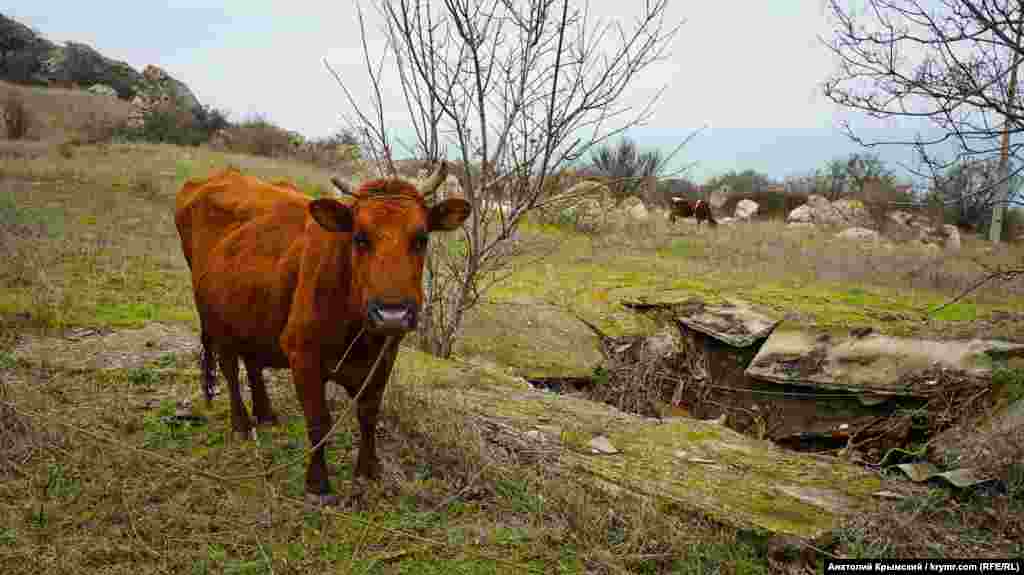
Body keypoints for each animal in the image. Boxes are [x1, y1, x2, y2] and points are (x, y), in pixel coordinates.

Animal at [177, 159, 471, 501]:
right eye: (360, 238)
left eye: (421, 239)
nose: (392, 315)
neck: (358, 332)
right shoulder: (303, 354)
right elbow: (318, 421)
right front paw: (317, 483)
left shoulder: (384, 357)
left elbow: (368, 414)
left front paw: (368, 471)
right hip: (216, 320)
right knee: (229, 369)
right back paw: (242, 424)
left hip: (253, 313)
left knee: (252, 362)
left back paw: (266, 414)